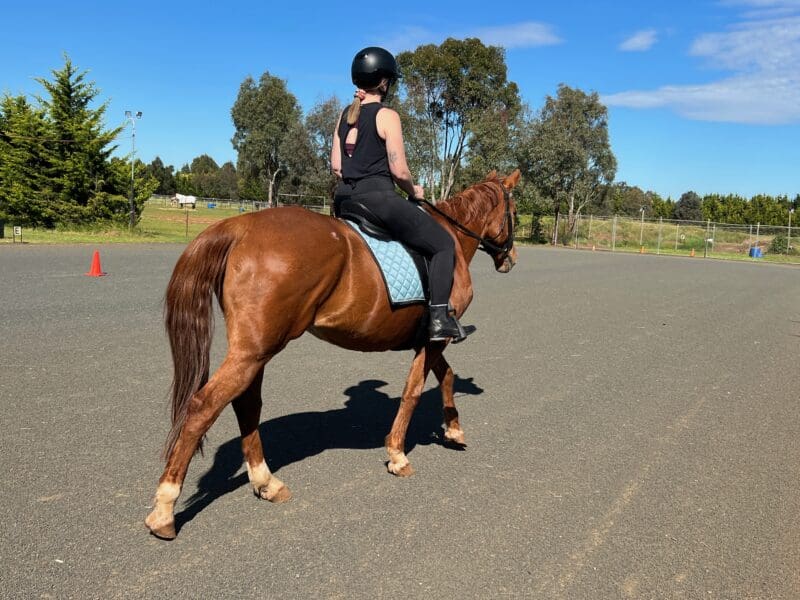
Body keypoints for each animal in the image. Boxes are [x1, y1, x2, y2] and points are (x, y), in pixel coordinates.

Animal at [145, 169, 521, 539]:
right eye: (514, 213)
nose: (511, 259)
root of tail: (241, 226)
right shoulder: (434, 339)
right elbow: (413, 391)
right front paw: (398, 454)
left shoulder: (426, 340)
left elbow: (447, 375)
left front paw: (453, 430)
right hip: (254, 351)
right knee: (203, 406)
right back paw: (165, 510)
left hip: (256, 349)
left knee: (246, 403)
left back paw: (266, 482)